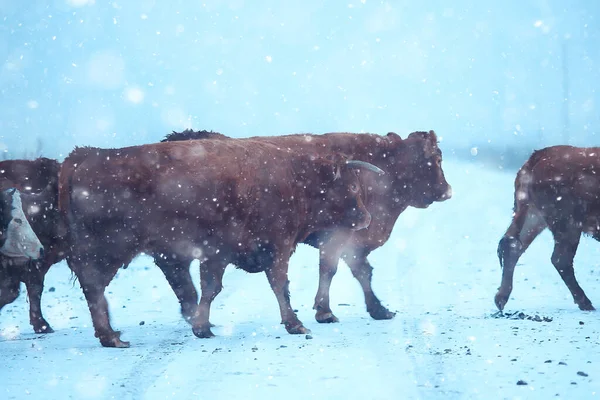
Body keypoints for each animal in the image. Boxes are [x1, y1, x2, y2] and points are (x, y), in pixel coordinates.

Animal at [58, 138, 378, 346]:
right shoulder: (276, 248)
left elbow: (210, 288)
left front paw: (203, 327)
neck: (297, 179)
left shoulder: (218, 256)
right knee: (94, 287)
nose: (366, 218)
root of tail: (85, 156)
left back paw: (111, 336)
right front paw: (295, 325)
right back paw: (112, 338)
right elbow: (278, 285)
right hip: (110, 250)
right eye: (351, 186)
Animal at [159, 130, 450, 324]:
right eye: (435, 159)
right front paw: (326, 312)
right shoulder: (339, 239)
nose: (447, 191)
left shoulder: (351, 243)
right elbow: (333, 270)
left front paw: (379, 310)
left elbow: (360, 272)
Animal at [496, 145, 600, 310]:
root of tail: (538, 155)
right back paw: (586, 303)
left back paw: (500, 299)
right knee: (561, 259)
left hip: (534, 217)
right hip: (567, 225)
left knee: (512, 245)